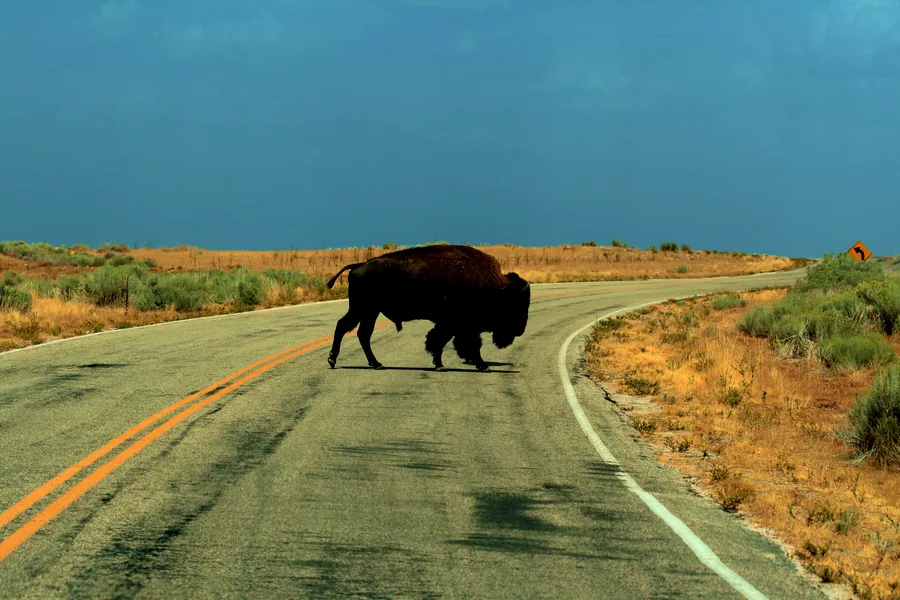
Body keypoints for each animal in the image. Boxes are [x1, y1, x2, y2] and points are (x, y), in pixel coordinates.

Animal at [324, 244, 531, 372]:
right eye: (515, 305)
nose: (520, 330)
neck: (494, 287)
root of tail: (359, 266)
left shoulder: (452, 325)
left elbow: (442, 341)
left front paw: (440, 364)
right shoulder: (459, 324)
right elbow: (461, 343)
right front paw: (482, 365)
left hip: (370, 312)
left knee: (362, 334)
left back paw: (376, 363)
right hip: (362, 309)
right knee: (344, 326)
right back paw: (333, 360)